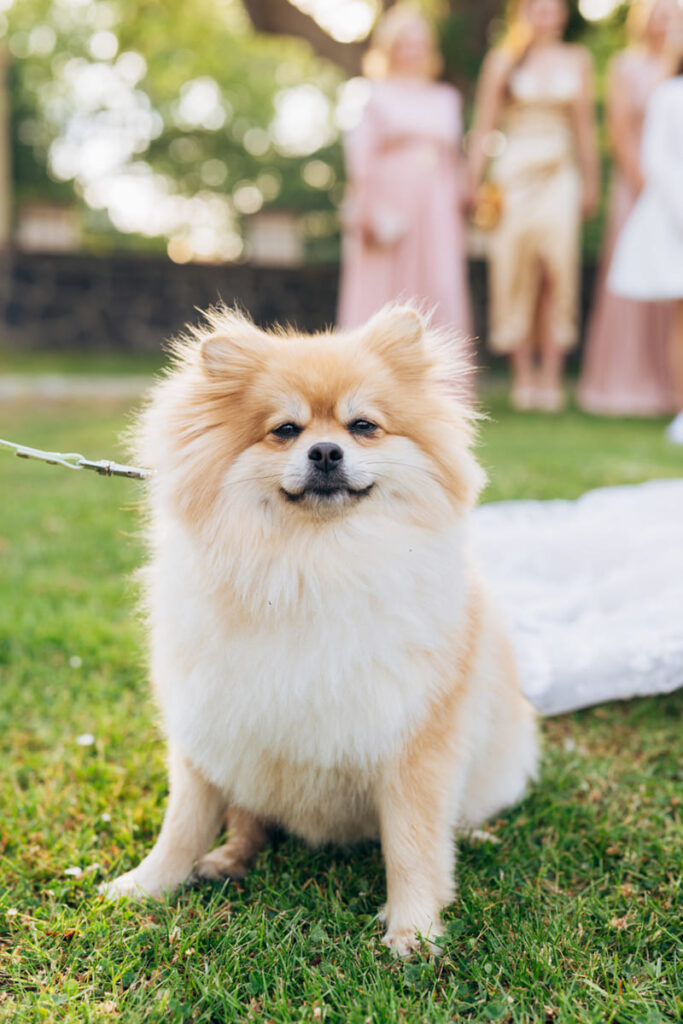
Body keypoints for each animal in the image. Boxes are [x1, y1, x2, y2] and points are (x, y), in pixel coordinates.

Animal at [101, 301, 540, 950]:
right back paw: (227, 860)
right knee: (247, 820)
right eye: (286, 430)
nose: (327, 452)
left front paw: (414, 930)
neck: (313, 563)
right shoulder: (207, 722)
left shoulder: (413, 739)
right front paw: (146, 885)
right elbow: (184, 822)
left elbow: (412, 843)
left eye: (362, 426)